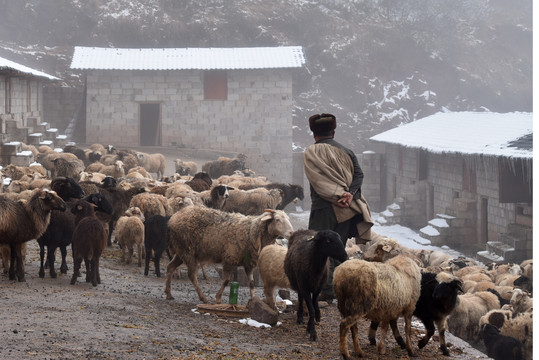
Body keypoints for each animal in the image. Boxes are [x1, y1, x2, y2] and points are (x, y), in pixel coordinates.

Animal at [163, 205, 294, 304]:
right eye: (277, 219)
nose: (291, 233)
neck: (251, 231)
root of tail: (172, 218)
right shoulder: (228, 259)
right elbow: (226, 281)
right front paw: (218, 298)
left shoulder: (248, 264)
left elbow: (251, 283)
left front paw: (253, 300)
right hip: (187, 251)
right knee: (191, 275)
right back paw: (203, 298)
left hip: (181, 251)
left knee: (170, 267)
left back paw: (168, 293)